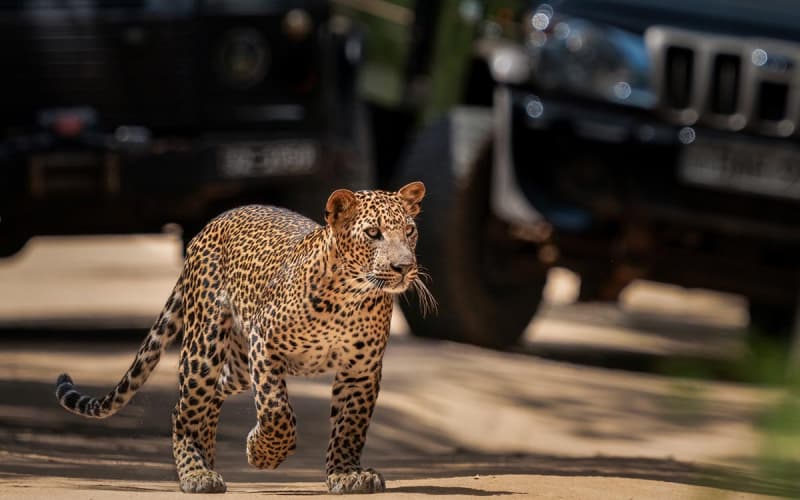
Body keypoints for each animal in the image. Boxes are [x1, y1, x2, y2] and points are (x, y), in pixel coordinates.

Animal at [55, 182, 433, 494]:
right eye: (373, 233)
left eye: (409, 231)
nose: (404, 267)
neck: (350, 296)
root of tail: (213, 222)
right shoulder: (264, 345)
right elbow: (276, 411)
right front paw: (261, 452)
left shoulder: (361, 369)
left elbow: (351, 424)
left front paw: (346, 473)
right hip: (205, 346)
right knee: (184, 408)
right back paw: (196, 473)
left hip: (235, 365)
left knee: (212, 394)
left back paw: (206, 461)